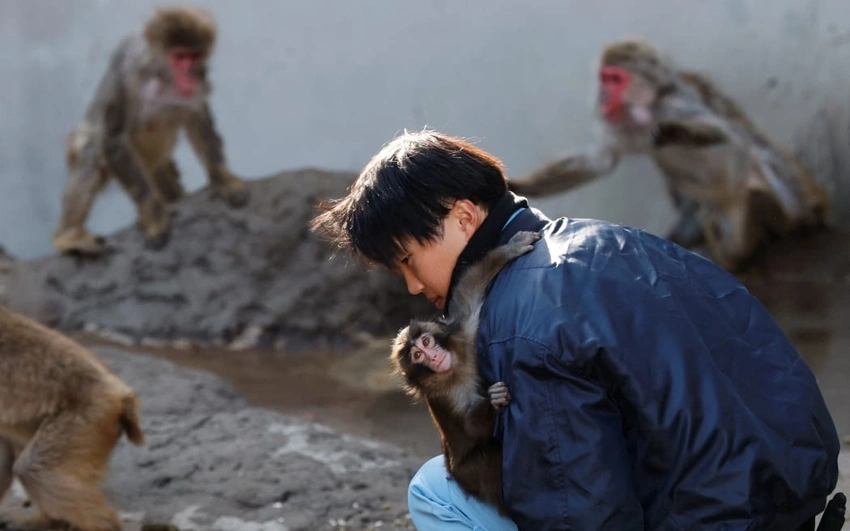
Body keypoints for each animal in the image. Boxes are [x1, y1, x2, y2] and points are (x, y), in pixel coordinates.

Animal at [52, 5, 249, 256]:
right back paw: (68, 236)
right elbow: (113, 139)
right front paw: (154, 217)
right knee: (92, 148)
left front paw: (224, 180)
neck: (161, 76)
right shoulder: (128, 74)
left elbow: (198, 120)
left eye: (195, 56)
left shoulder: (200, 77)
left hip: (158, 166)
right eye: (180, 57)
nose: (189, 74)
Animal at [390, 230, 541, 514]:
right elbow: (471, 425)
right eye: (417, 356)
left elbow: (469, 288)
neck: (455, 368)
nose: (434, 357)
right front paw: (495, 402)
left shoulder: (464, 336)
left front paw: (509, 250)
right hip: (468, 474)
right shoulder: (446, 393)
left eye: (426, 342)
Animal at [508, 37, 831, 272]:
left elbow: (725, 134)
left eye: (616, 79)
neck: (648, 107)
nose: (603, 98)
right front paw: (516, 185)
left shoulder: (676, 103)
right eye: (604, 79)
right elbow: (600, 162)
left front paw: (673, 132)